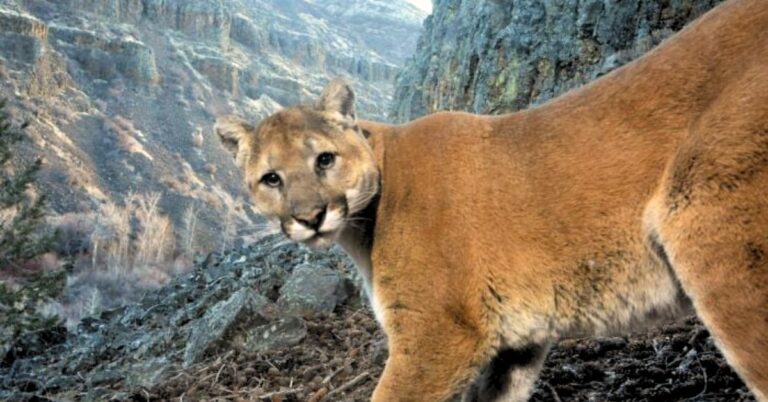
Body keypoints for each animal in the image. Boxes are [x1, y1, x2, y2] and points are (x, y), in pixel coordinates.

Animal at [215, 0, 768, 400]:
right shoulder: (513, 349)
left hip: (707, 220)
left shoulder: (437, 332)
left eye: (324, 160)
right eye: (271, 179)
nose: (310, 217)